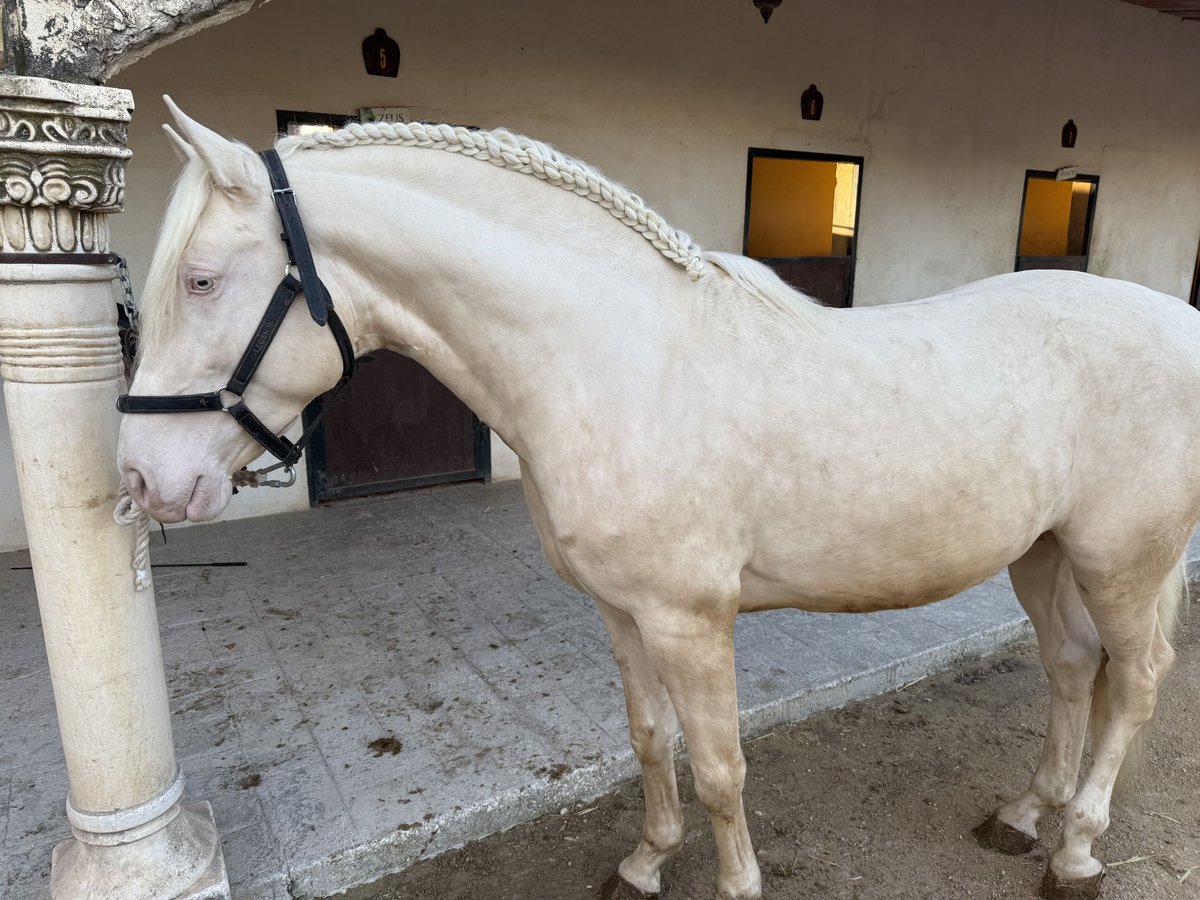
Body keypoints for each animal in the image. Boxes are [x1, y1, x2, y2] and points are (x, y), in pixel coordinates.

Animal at [117, 98, 1195, 900]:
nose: (143, 481)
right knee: (1071, 668)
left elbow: (720, 766)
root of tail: (1177, 319)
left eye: (202, 281)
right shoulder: (623, 612)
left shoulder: (690, 619)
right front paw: (643, 864)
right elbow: (649, 741)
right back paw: (1022, 816)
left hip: (1121, 561)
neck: (616, 358)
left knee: (1138, 679)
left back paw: (1077, 850)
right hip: (1043, 552)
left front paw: (733, 884)